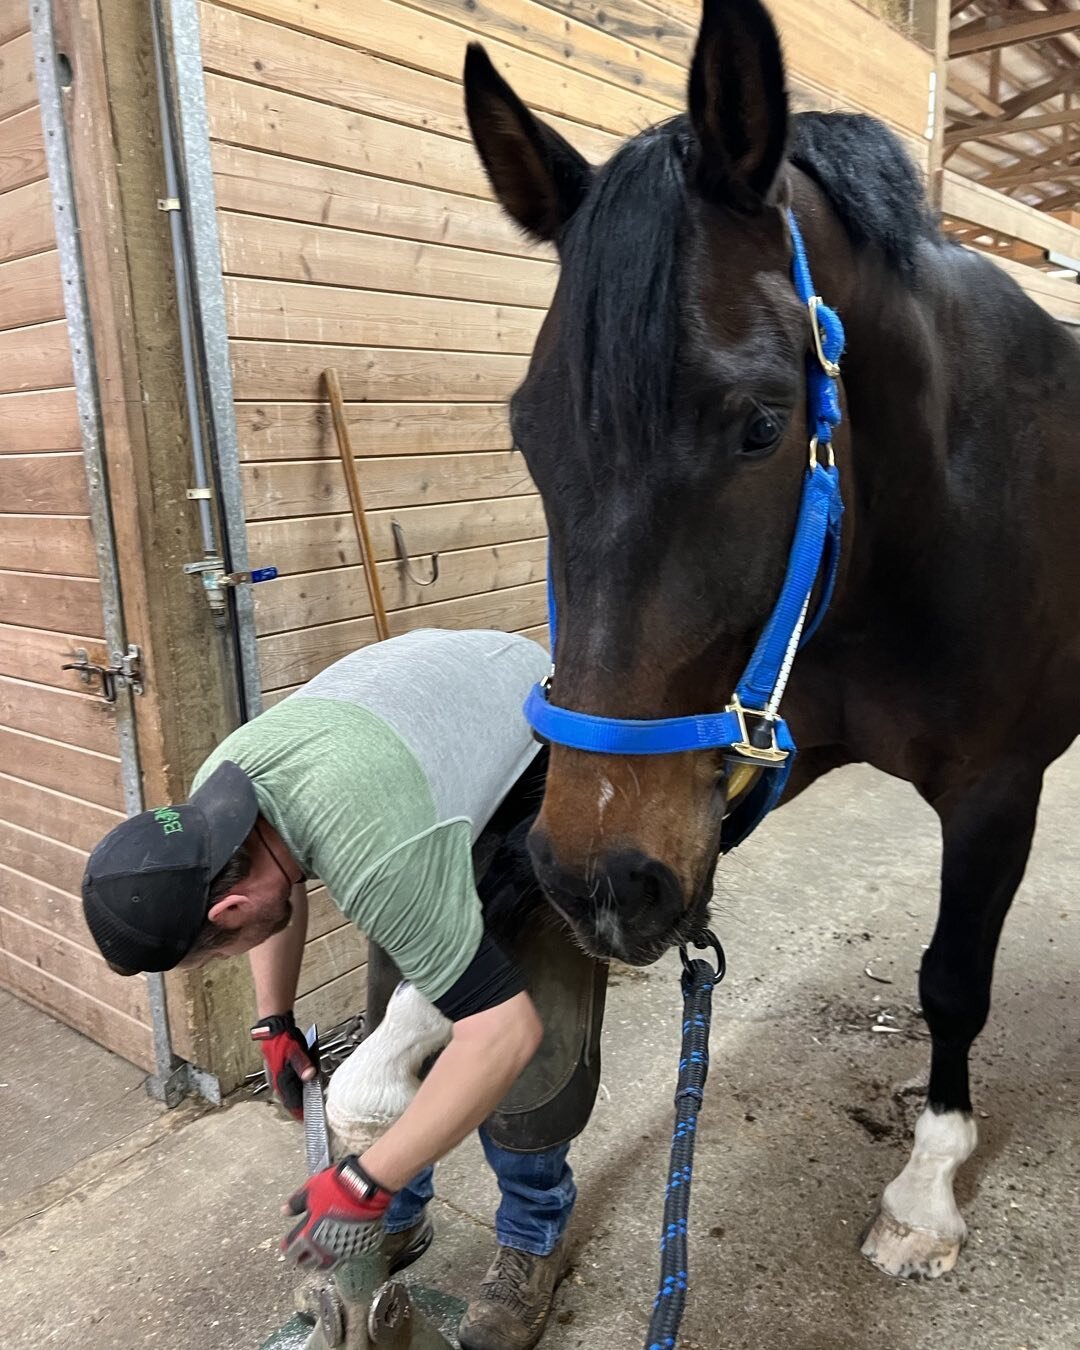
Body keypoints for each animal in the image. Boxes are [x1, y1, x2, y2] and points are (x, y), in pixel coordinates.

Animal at [464, 0, 1080, 1285]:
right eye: (529, 432)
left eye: (759, 425)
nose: (600, 885)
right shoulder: (757, 736)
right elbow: (500, 853)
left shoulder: (998, 786)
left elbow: (954, 978)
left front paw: (926, 1193)